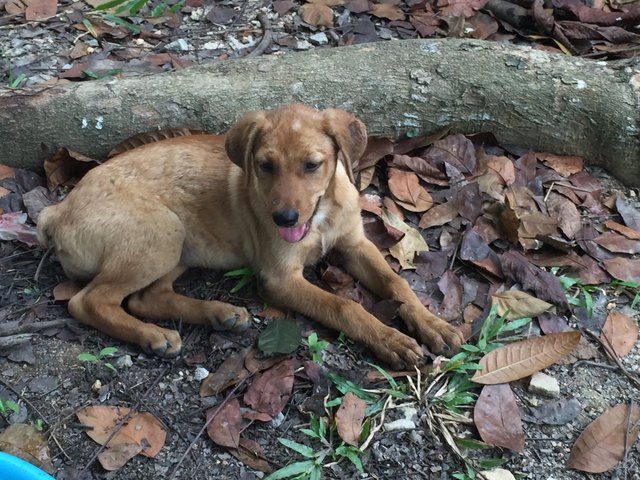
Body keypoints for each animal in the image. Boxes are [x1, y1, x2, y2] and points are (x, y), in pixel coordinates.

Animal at [37, 103, 462, 370]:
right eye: (264, 165)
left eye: (312, 165)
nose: (284, 218)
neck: (320, 217)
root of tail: (56, 211)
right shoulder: (280, 278)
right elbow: (345, 306)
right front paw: (389, 340)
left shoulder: (356, 244)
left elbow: (397, 284)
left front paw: (433, 325)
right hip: (161, 232)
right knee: (89, 301)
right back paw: (152, 335)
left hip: (178, 246)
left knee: (145, 298)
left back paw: (219, 315)